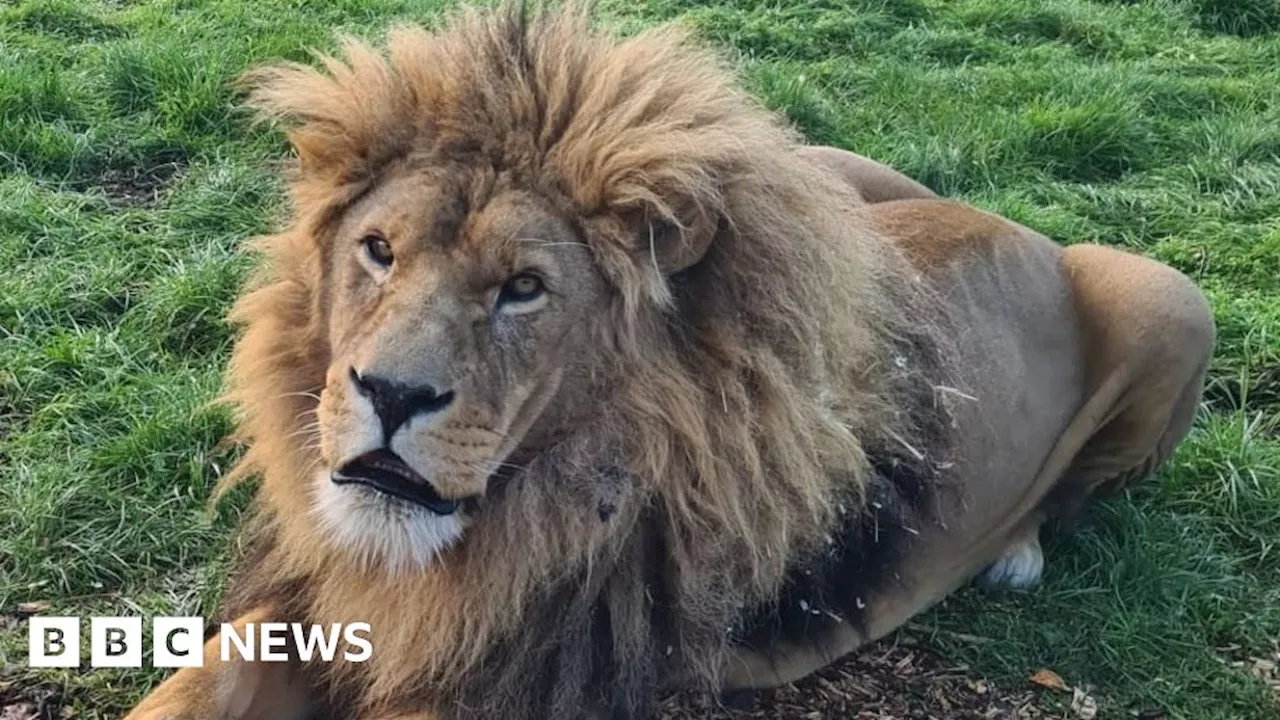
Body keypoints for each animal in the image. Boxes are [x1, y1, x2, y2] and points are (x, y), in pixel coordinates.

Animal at [124, 2, 1213, 712]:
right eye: (378, 251)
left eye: (524, 287)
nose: (390, 393)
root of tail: (1012, 225)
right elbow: (203, 681)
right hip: (822, 171)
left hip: (1170, 297)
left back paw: (1016, 552)